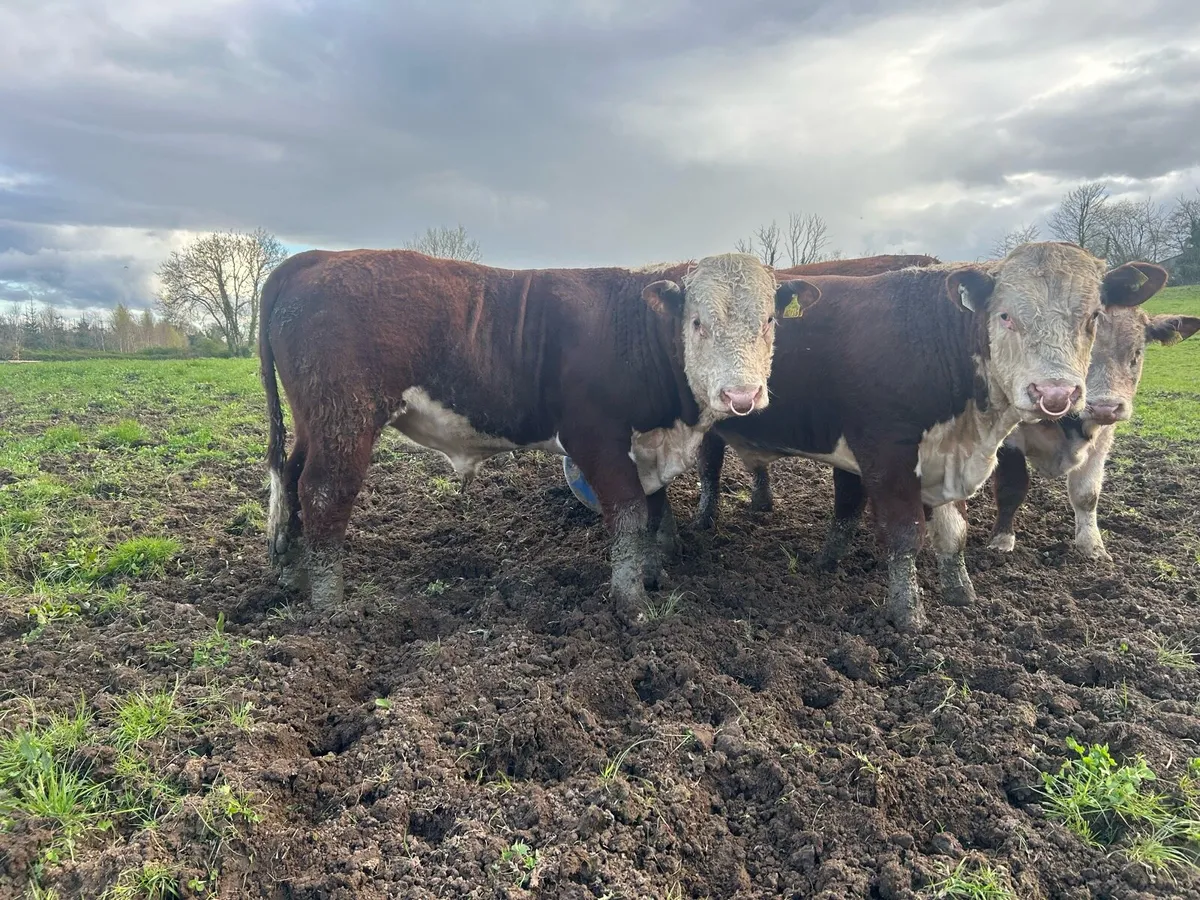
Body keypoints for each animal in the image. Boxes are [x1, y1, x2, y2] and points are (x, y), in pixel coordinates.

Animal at [259, 249, 820, 612]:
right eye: (698, 323)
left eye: (770, 320)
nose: (741, 396)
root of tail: (315, 258)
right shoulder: (594, 435)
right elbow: (628, 512)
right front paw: (632, 602)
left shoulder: (646, 441)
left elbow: (656, 505)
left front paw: (658, 565)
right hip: (344, 418)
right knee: (324, 491)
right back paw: (330, 605)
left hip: (314, 421)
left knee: (292, 480)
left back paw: (293, 574)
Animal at [691, 242, 1167, 632]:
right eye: (1006, 316)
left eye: (1093, 318)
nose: (1056, 393)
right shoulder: (886, 454)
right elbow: (904, 533)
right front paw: (908, 614)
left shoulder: (949, 458)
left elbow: (953, 532)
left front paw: (961, 593)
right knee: (710, 469)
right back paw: (703, 522)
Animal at [987, 306, 1198, 558]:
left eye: (1136, 353)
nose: (1104, 407)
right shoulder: (1009, 435)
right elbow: (1012, 486)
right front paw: (1002, 539)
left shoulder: (1102, 440)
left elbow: (1087, 494)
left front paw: (1092, 546)